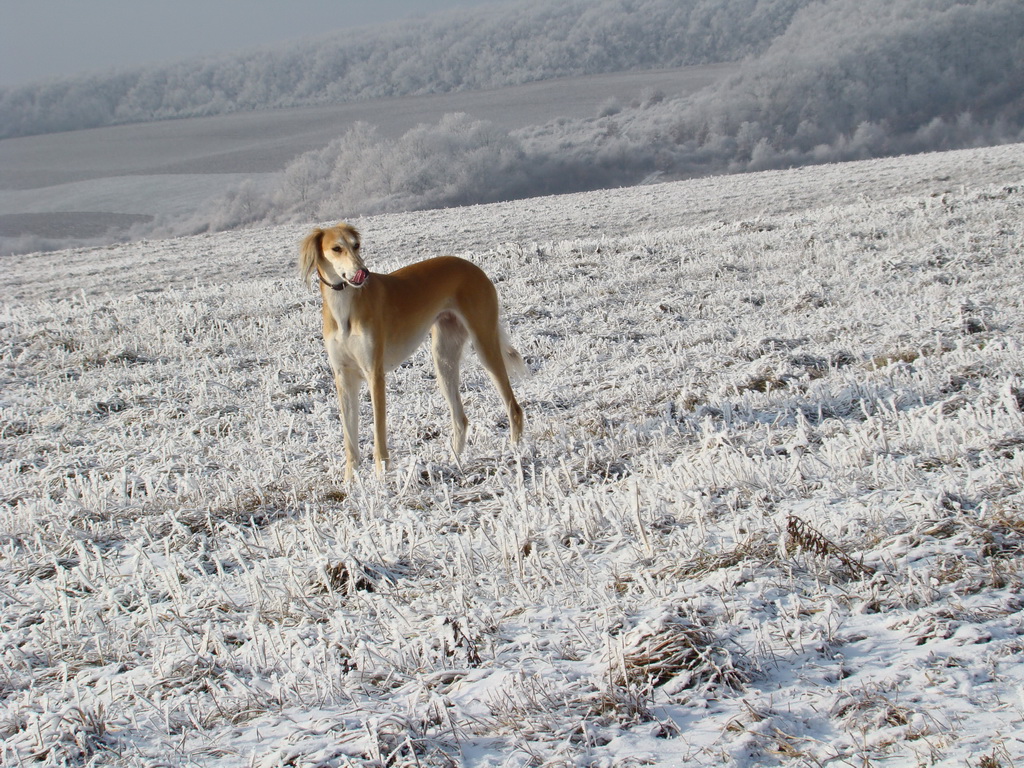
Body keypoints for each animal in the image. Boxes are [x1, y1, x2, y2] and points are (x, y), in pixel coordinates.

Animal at [294, 222, 520, 481]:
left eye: (356, 245)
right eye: (336, 248)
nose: (364, 272)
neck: (344, 306)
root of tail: (474, 267)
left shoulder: (375, 374)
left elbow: (379, 431)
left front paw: (381, 478)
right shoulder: (343, 377)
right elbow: (349, 438)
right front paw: (351, 482)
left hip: (484, 345)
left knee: (514, 407)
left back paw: (516, 451)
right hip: (443, 358)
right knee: (461, 419)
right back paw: (454, 462)